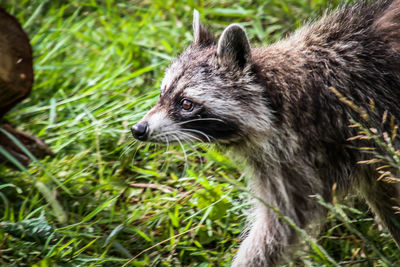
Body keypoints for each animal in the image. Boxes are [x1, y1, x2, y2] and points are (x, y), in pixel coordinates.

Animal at [133, 0, 400, 266]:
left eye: (186, 104)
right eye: (162, 94)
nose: (138, 129)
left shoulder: (349, 132)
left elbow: (278, 226)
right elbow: (283, 224)